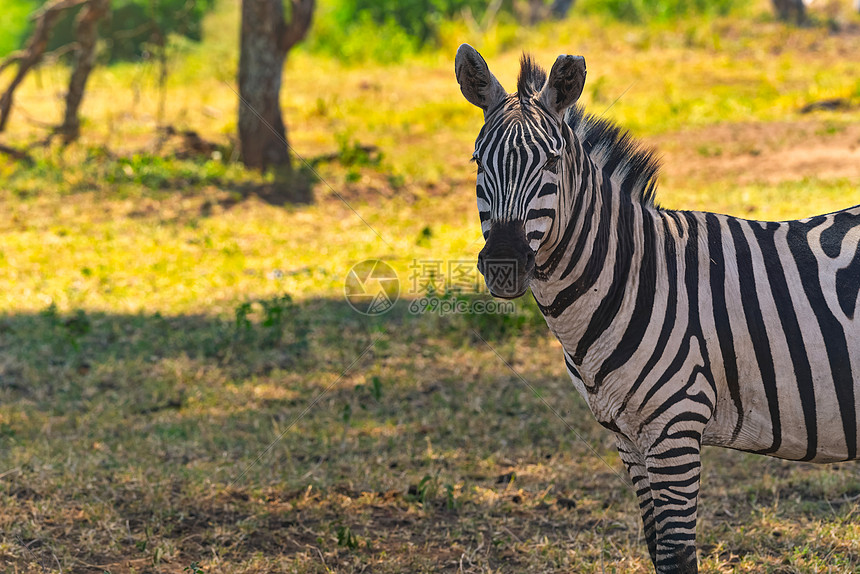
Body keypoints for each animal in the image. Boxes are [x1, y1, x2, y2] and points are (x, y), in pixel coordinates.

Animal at [454, 45, 856, 574]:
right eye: (479, 161)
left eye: (552, 161)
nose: (503, 265)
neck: (632, 276)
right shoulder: (629, 437)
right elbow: (655, 546)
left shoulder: (675, 426)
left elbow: (676, 554)